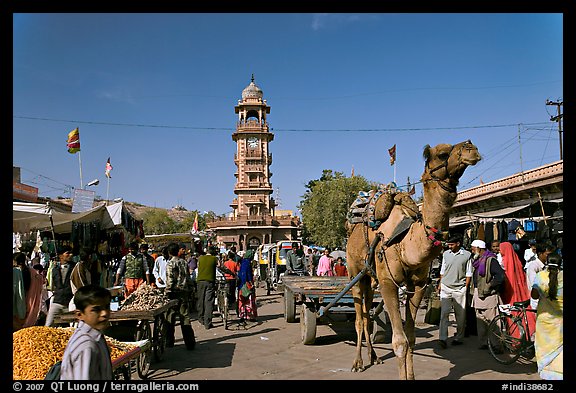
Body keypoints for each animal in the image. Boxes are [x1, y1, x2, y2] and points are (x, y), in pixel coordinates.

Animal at [346, 139, 482, 378]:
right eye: (442, 154)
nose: (470, 147)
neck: (404, 241)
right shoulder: (388, 283)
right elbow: (399, 342)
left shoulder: (418, 285)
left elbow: (411, 338)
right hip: (355, 271)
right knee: (359, 319)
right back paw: (358, 363)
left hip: (371, 279)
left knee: (367, 314)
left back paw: (374, 357)